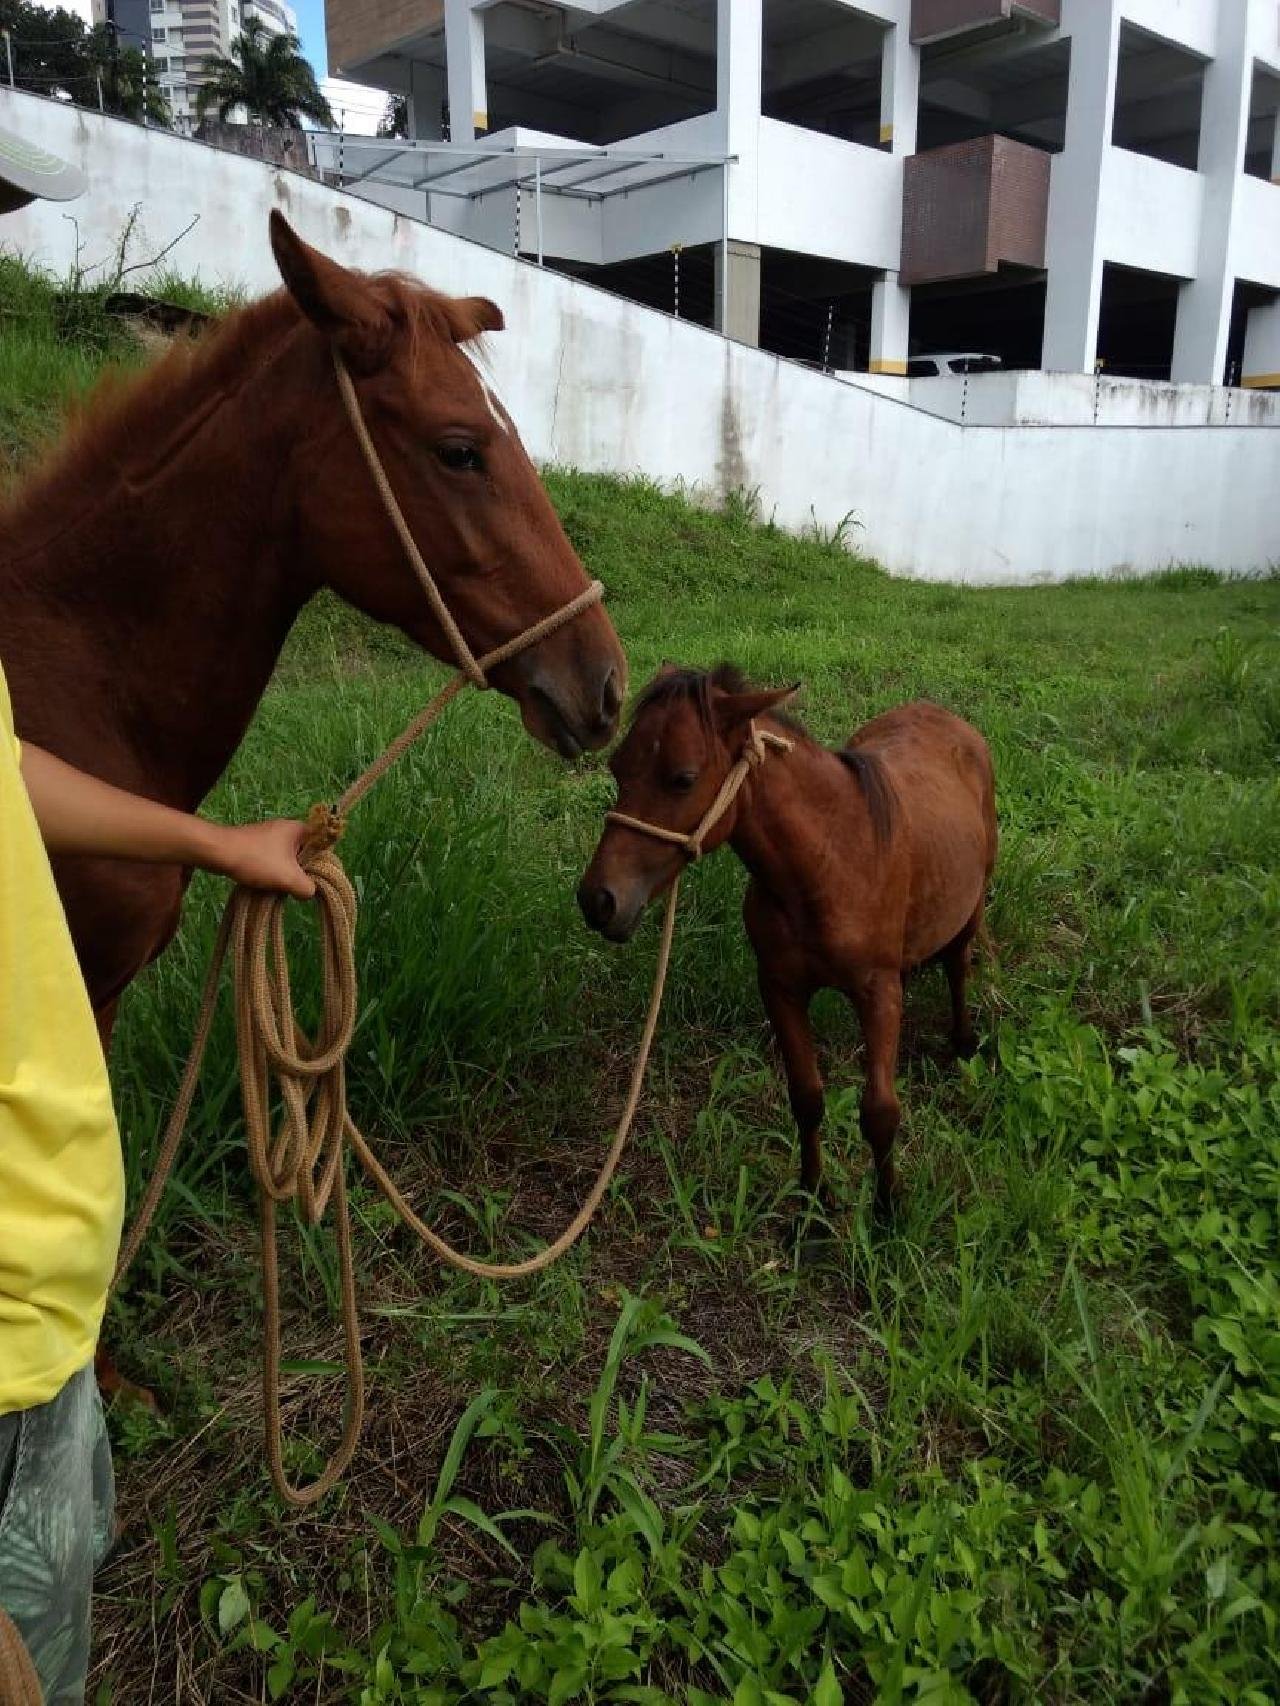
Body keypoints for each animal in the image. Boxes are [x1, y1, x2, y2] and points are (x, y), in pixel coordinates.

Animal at [580, 665, 1003, 1214]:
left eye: (683, 779)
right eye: (617, 768)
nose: (598, 900)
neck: (831, 860)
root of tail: (949, 719)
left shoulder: (877, 993)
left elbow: (880, 1112)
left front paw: (888, 1208)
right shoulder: (780, 988)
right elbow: (806, 1098)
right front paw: (812, 1197)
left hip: (969, 909)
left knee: (957, 964)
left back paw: (965, 1041)